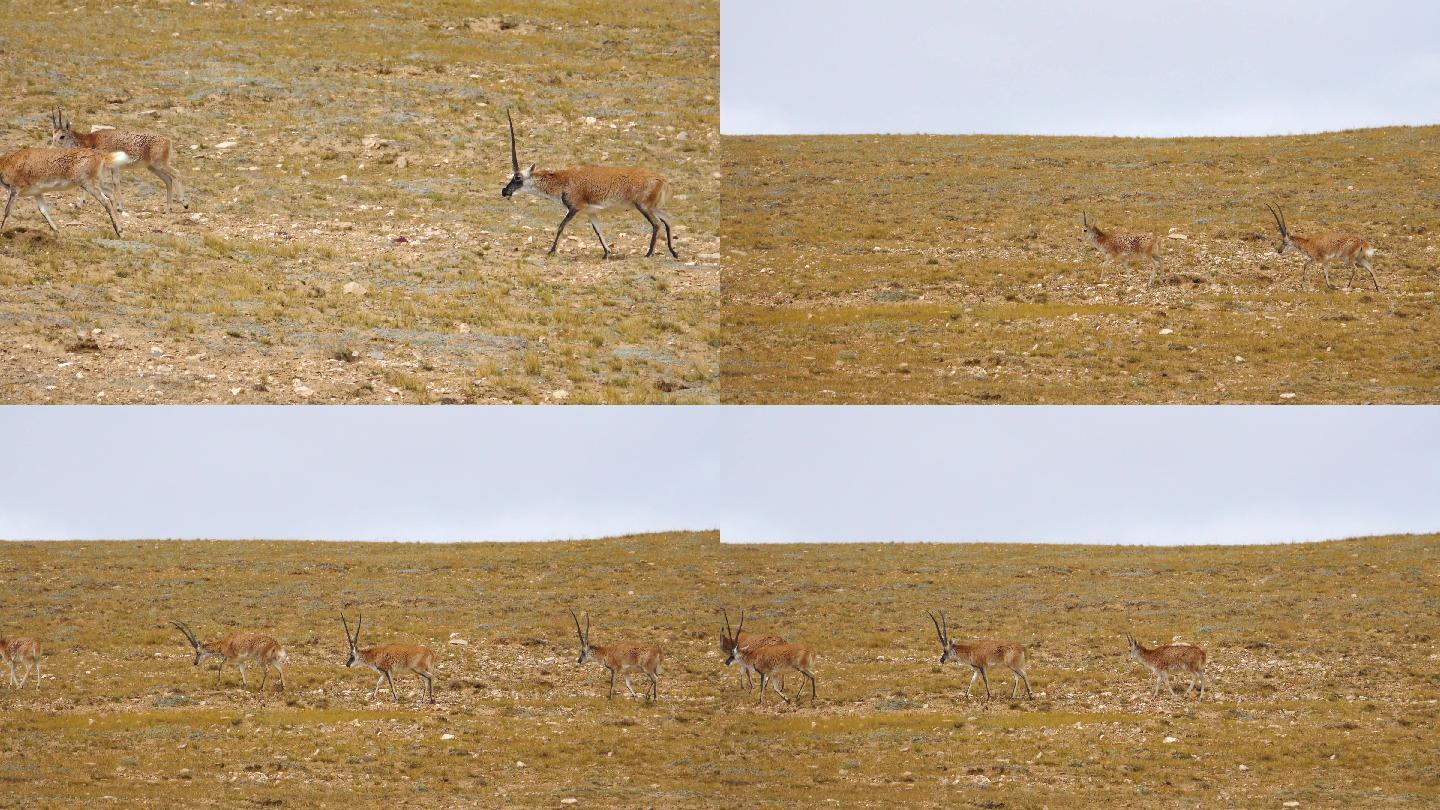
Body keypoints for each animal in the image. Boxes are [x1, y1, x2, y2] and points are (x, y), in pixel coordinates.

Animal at [0, 145, 128, 236]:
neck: (6, 162)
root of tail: (101, 155)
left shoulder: (15, 189)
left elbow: (7, 210)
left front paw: (1, 232)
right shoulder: (37, 193)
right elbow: (43, 210)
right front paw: (57, 231)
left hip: (88, 184)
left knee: (105, 201)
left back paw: (119, 231)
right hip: (97, 182)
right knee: (110, 193)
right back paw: (120, 228)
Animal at [50, 108, 187, 213]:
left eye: (62, 136)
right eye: (53, 135)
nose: (51, 149)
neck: (92, 140)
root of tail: (167, 141)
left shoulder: (107, 167)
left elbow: (110, 183)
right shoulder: (112, 167)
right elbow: (115, 183)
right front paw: (119, 206)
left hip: (160, 164)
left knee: (177, 173)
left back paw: (184, 203)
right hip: (153, 167)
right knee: (168, 180)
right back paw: (168, 208)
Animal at [501, 109, 679, 257]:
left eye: (517, 177)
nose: (504, 191)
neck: (564, 180)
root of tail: (662, 179)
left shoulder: (574, 208)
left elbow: (561, 226)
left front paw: (551, 251)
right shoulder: (591, 212)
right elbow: (598, 230)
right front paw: (607, 253)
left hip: (643, 207)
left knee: (657, 224)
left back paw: (649, 253)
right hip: (652, 207)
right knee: (668, 219)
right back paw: (673, 252)